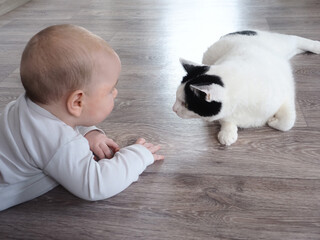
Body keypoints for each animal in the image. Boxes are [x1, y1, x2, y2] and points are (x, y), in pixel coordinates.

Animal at [172, 30, 320, 146]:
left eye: (185, 104)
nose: (173, 109)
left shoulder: (286, 96)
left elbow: (287, 122)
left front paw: (273, 121)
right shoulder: (226, 112)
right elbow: (225, 119)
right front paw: (228, 132)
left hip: (281, 44)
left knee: (295, 39)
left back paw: (316, 46)